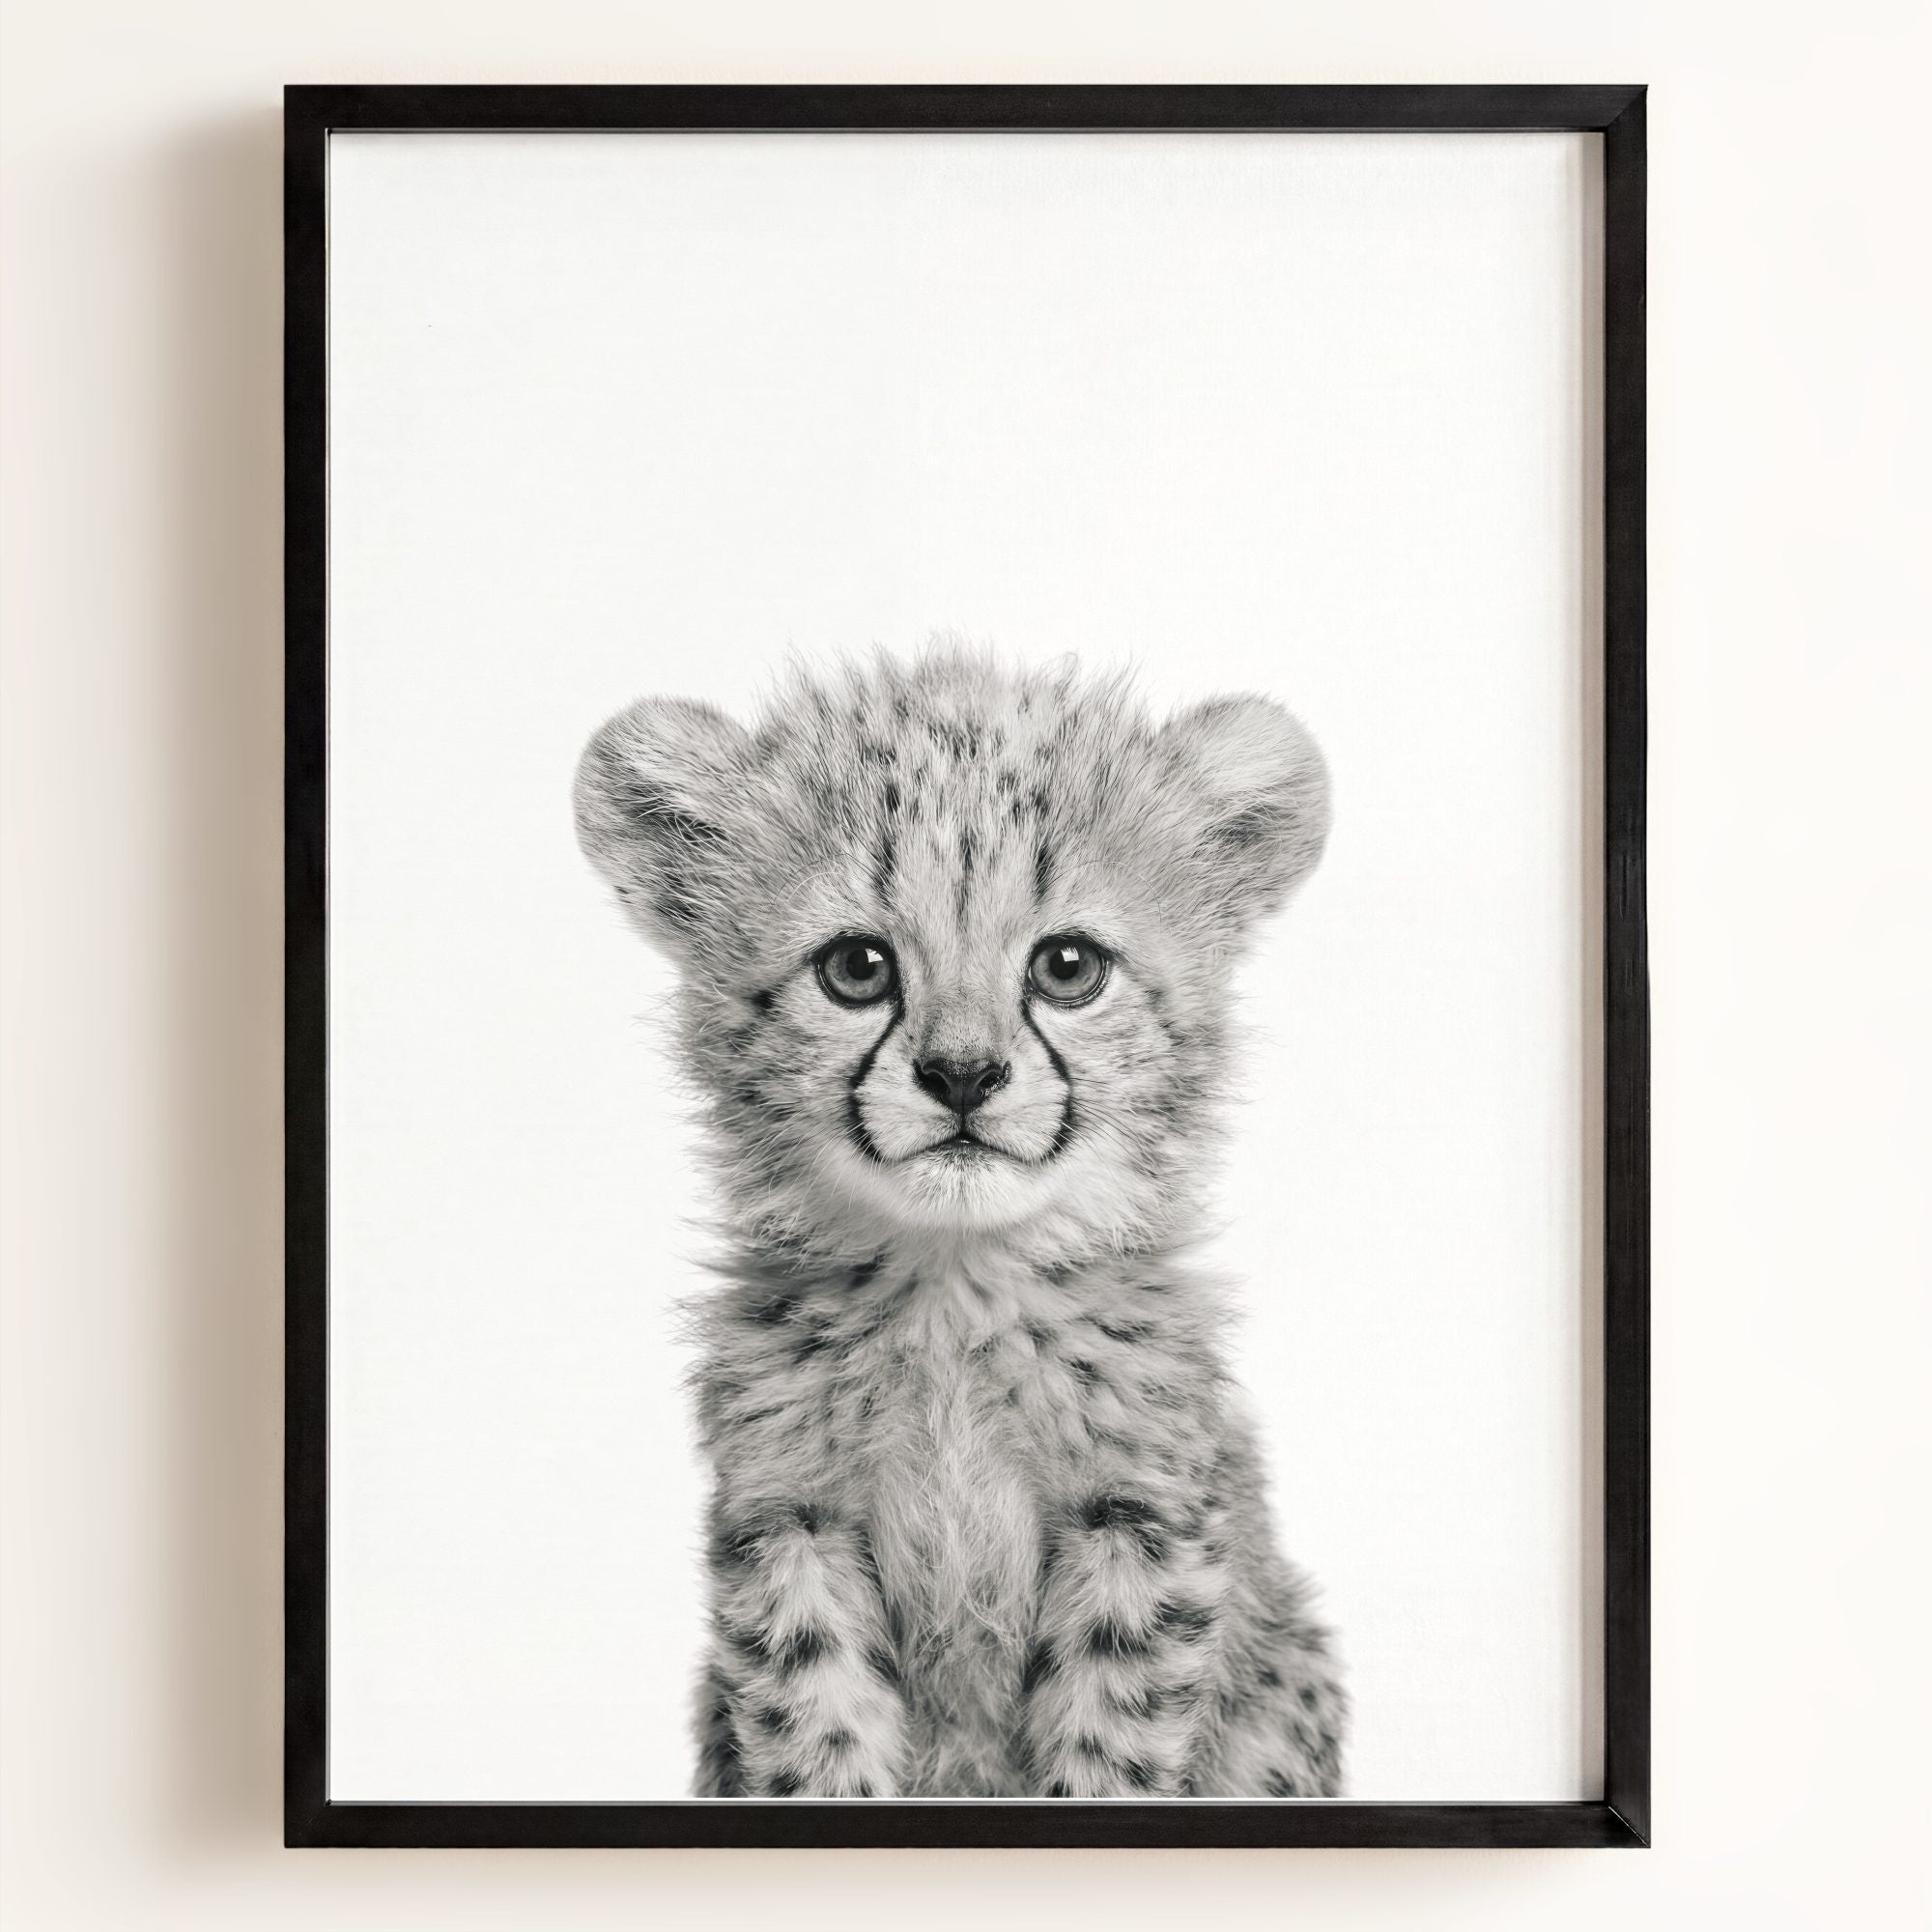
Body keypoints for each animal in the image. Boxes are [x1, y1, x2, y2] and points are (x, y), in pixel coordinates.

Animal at [574, 645, 1346, 1798]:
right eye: (857, 967)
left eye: (1067, 967)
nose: (962, 1075)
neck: (954, 1286)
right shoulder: (789, 1522)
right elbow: (816, 1736)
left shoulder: (1138, 1519)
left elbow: (1109, 1744)